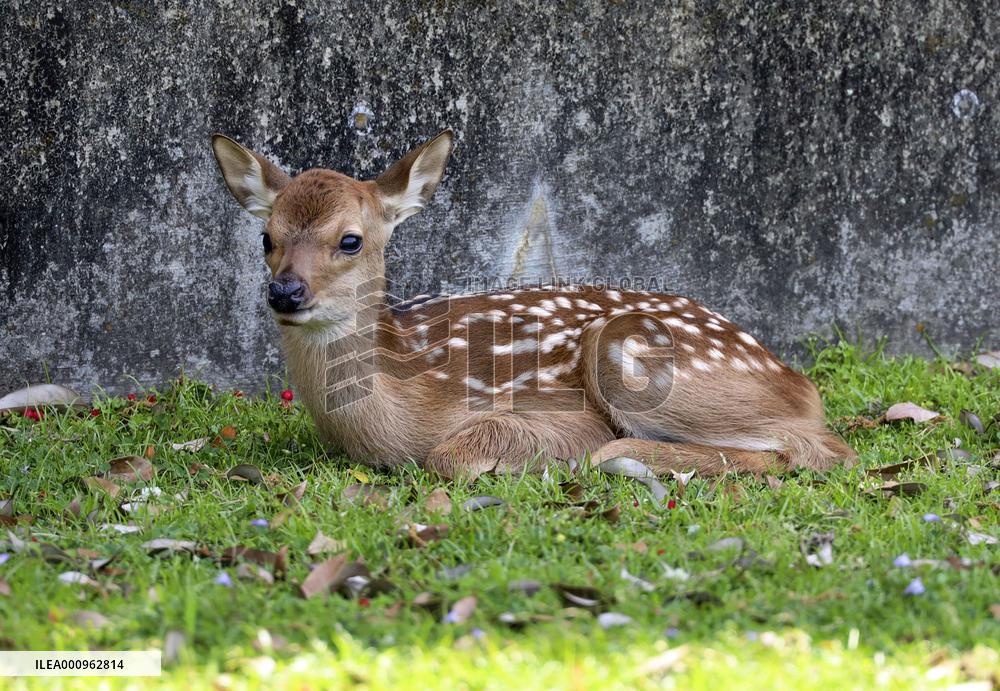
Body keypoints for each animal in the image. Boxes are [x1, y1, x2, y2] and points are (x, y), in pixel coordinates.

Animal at [210, 128, 856, 480]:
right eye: (265, 238)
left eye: (350, 240)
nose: (286, 291)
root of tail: (798, 381)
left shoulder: (556, 411)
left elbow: (453, 455)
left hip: (632, 358)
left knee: (821, 449)